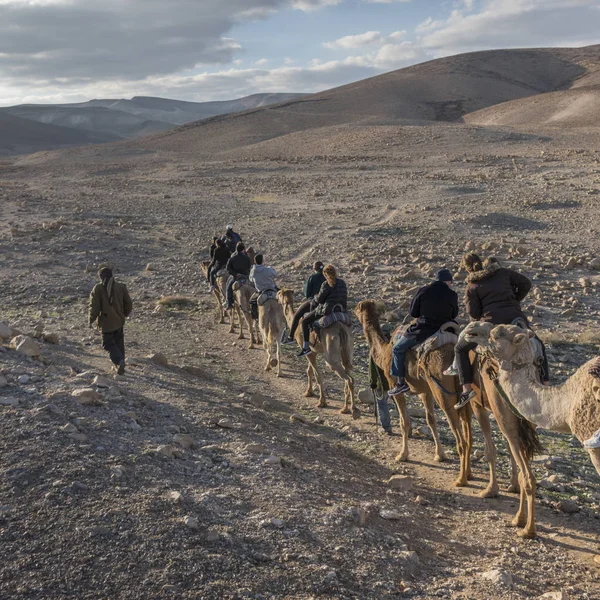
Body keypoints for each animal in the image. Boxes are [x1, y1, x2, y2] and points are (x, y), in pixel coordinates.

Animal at [276, 290, 356, 418]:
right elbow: (309, 371)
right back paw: (345, 409)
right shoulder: (313, 351)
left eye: (279, 293)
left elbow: (317, 375)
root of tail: (340, 328)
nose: (275, 294)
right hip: (348, 348)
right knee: (348, 372)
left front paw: (322, 402)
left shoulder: (306, 350)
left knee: (347, 378)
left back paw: (353, 410)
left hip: (330, 351)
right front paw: (308, 392)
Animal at [356, 300, 502, 492]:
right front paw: (439, 455)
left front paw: (402, 455)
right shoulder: (425, 390)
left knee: (461, 440)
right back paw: (469, 474)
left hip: (443, 394)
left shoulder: (395, 384)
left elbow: (404, 422)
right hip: (464, 397)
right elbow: (430, 420)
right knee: (468, 436)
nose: (353, 313)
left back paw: (461, 479)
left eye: (357, 309)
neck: (385, 351)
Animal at [462, 324, 548, 540]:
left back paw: (528, 529)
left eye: (494, 335)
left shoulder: (479, 405)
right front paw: (511, 486)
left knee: (528, 476)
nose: (471, 330)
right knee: (525, 470)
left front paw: (490, 490)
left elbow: (491, 451)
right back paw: (519, 519)